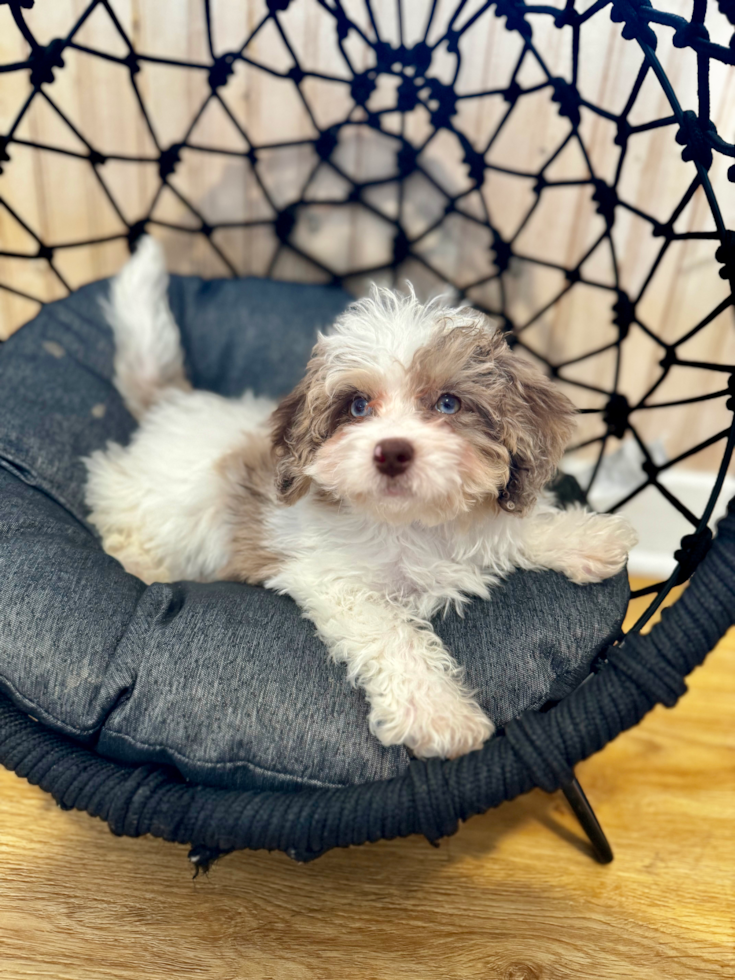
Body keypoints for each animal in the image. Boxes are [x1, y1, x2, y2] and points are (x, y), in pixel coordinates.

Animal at [85, 237, 640, 756]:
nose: (391, 451)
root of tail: (177, 401)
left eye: (448, 403)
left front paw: (587, 537)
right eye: (357, 406)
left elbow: (510, 525)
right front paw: (438, 714)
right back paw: (140, 561)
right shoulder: (336, 583)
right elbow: (393, 636)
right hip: (155, 500)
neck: (409, 523)